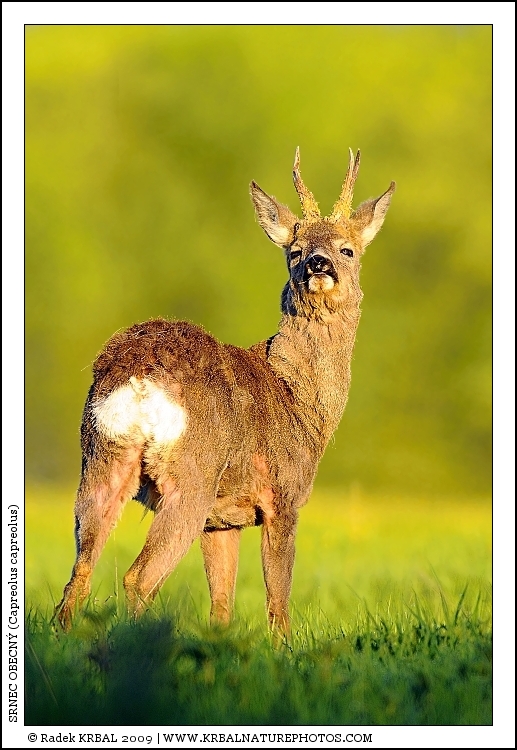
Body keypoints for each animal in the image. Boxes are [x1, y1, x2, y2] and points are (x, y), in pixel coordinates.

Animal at [55, 148, 395, 635]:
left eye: (346, 249)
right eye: (294, 251)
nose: (318, 263)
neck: (298, 398)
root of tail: (138, 376)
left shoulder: (222, 520)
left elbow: (221, 606)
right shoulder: (283, 497)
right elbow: (278, 600)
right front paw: (282, 648)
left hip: (102, 460)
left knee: (79, 573)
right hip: (191, 475)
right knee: (139, 577)